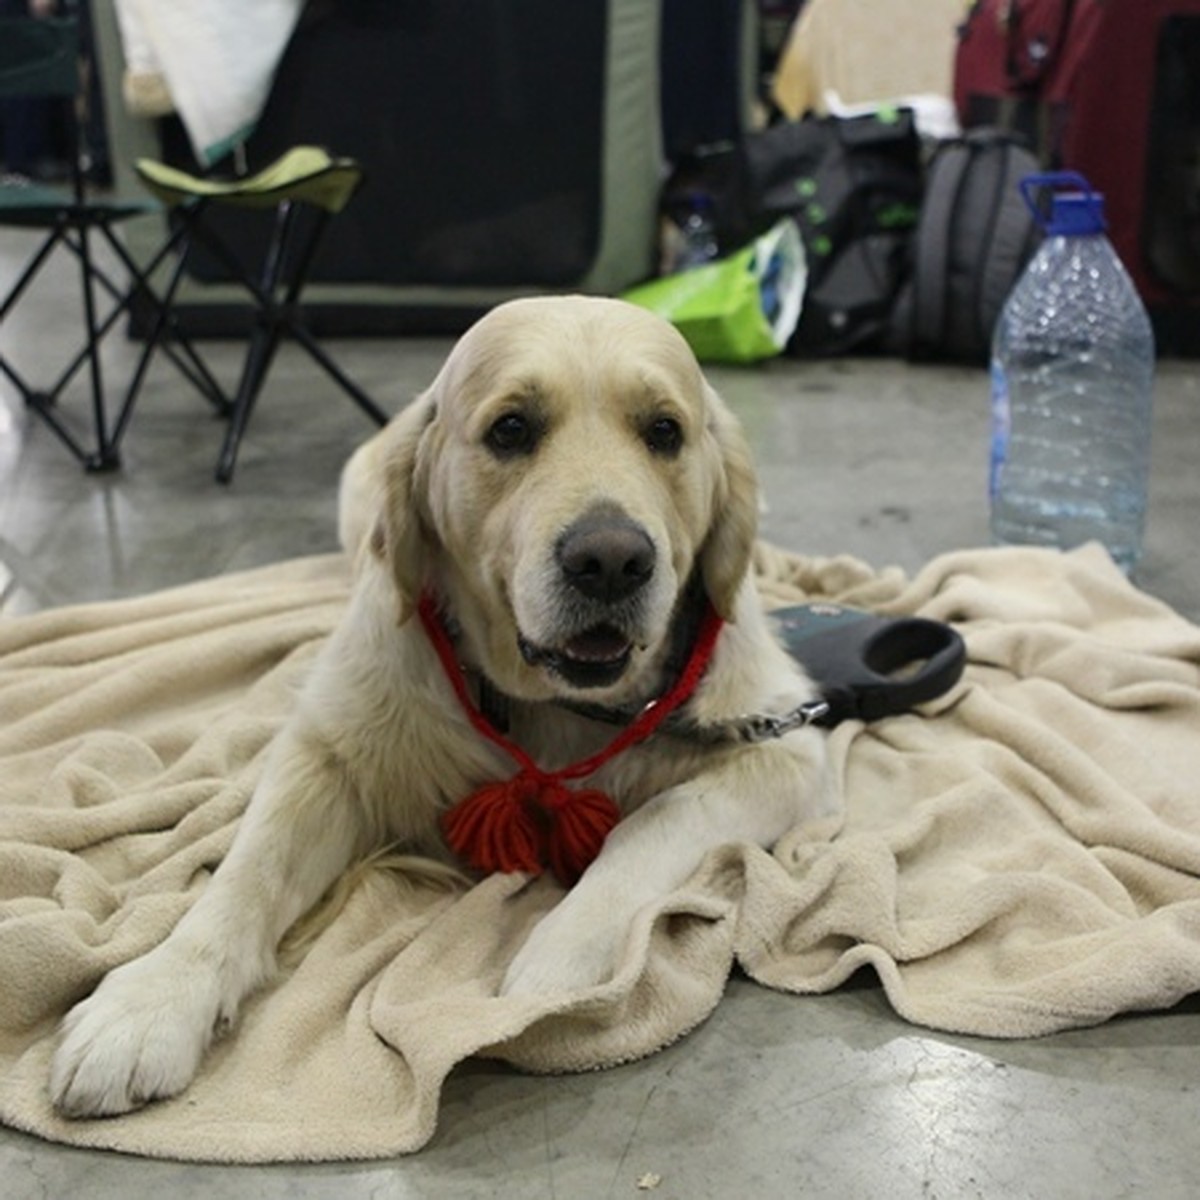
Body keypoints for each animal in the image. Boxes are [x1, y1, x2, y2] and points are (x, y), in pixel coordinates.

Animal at [49, 295, 835, 1118]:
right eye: (511, 429)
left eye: (664, 432)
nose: (612, 561)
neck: (551, 707)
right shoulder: (328, 752)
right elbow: (246, 872)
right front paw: (150, 1001)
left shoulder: (784, 742)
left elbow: (656, 821)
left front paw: (563, 953)